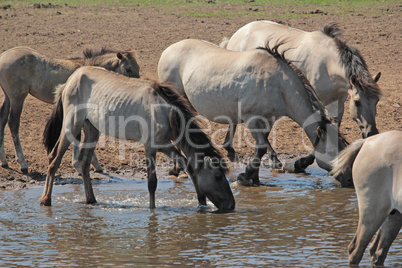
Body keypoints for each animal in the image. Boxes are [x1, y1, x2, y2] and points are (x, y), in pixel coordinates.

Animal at [0, 46, 141, 174]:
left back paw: (4, 161)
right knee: (13, 124)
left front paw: (94, 164)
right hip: (17, 98)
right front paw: (79, 165)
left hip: (8, 98)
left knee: (2, 121)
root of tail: (3, 57)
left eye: (138, 68)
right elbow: (78, 136)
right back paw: (22, 163)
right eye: (128, 69)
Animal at [40, 66, 236, 211]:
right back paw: (45, 199)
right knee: (54, 159)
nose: (231, 205)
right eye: (218, 176)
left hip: (92, 130)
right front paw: (152, 209)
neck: (166, 111)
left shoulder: (164, 145)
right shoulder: (150, 147)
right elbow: (152, 182)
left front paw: (201, 202)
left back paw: (91, 199)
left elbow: (188, 167)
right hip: (71, 126)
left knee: (84, 162)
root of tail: (69, 80)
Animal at [157, 38, 352, 187]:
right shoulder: (252, 118)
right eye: (336, 153)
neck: (278, 83)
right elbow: (262, 147)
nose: (350, 179)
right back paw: (177, 169)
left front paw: (254, 178)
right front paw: (245, 176)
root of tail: (169, 49)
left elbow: (262, 148)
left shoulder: (268, 120)